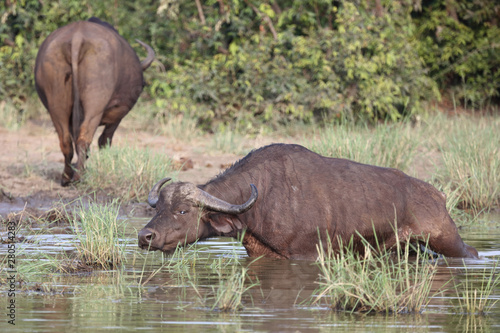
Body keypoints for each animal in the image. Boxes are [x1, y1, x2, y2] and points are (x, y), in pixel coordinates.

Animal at [34, 16, 154, 185]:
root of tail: (77, 37)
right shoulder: (117, 115)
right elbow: (105, 140)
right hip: (95, 107)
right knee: (84, 138)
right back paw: (79, 176)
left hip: (56, 106)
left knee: (66, 141)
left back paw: (66, 177)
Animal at [138, 143, 480, 260]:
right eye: (158, 208)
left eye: (183, 210)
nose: (144, 237)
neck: (261, 200)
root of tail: (437, 194)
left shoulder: (307, 255)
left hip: (447, 240)